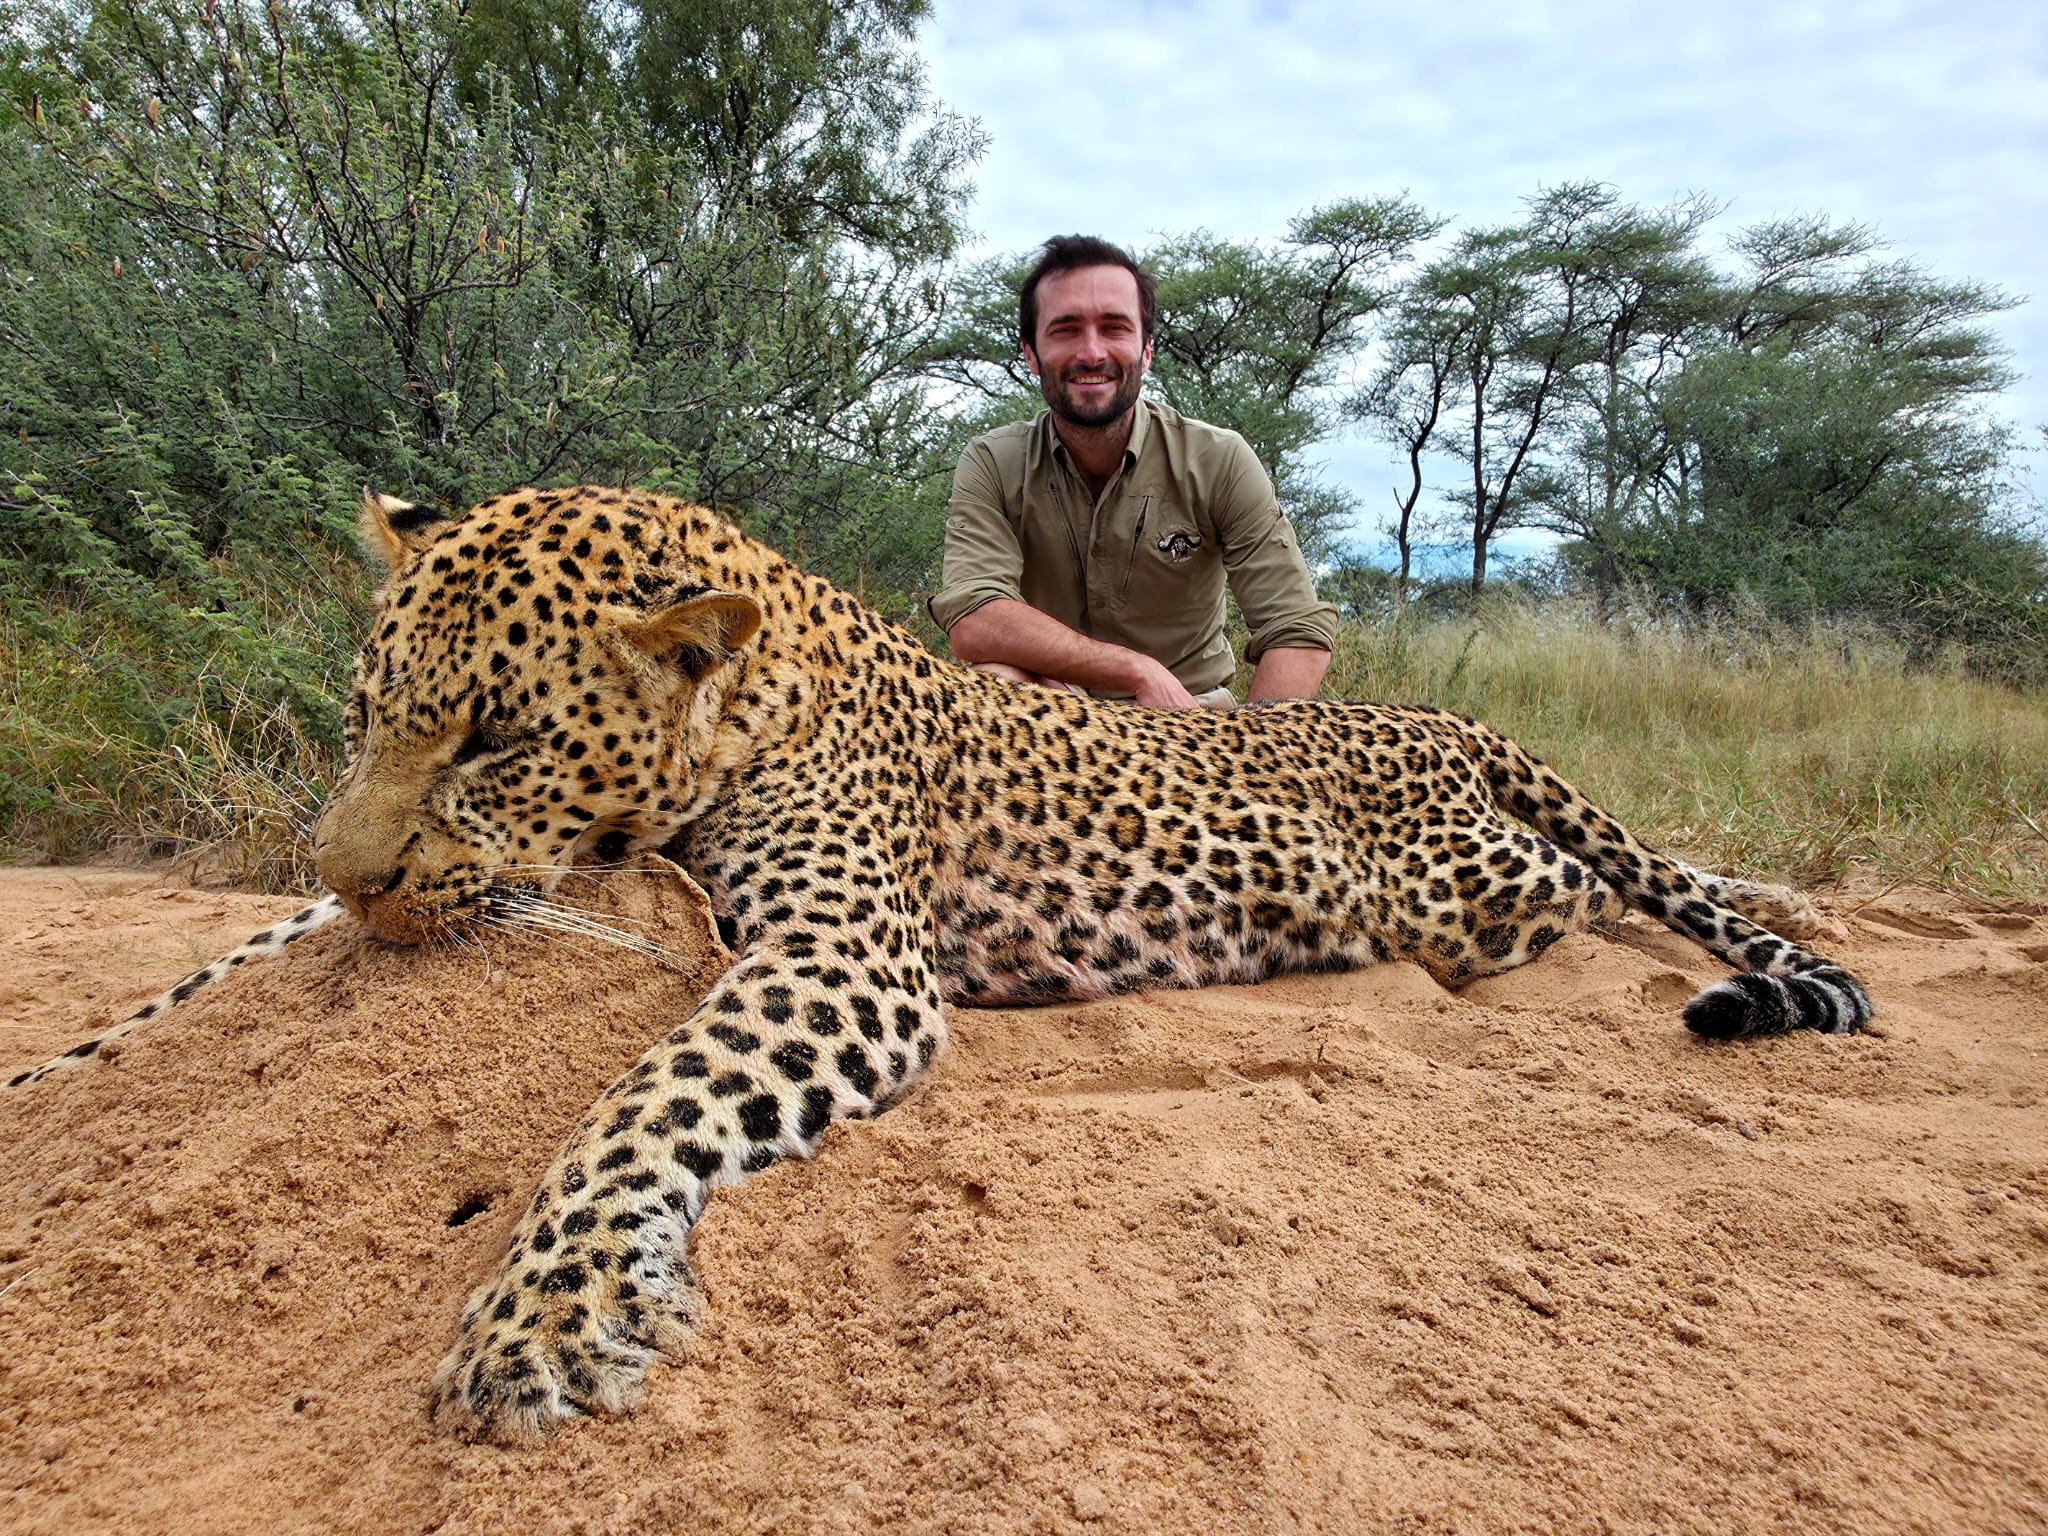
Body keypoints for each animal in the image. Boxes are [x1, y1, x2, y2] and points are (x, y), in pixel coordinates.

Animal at [8, 485, 1871, 1444]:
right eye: (364, 717)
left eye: (491, 739)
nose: (357, 876)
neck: (746, 700)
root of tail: (1432, 711)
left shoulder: (840, 956)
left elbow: (638, 1104)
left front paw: (548, 1315)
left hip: (1460, 887)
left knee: (1593, 879)